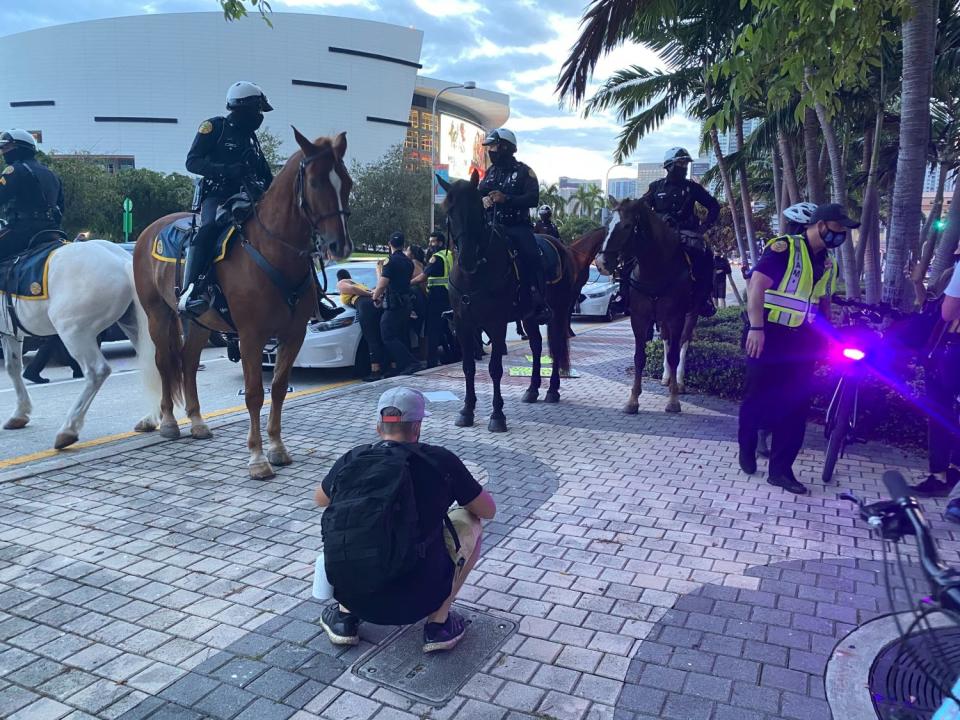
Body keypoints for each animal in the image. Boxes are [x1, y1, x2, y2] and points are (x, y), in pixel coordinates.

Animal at [0, 239, 158, 448]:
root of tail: (121, 262)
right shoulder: (9, 333)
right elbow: (13, 368)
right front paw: (20, 413)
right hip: (131, 325)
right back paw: (151, 419)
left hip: (73, 331)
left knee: (96, 371)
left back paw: (69, 429)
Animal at [137, 129, 354, 478]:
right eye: (316, 182)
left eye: (347, 182)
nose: (340, 245)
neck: (272, 251)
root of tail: (150, 231)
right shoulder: (251, 337)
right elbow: (254, 394)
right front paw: (257, 458)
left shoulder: (293, 335)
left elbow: (278, 387)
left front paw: (277, 448)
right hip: (159, 314)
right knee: (165, 362)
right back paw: (169, 422)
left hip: (199, 322)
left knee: (187, 361)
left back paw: (197, 421)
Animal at [438, 172, 572, 430]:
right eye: (448, 210)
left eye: (477, 208)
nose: (467, 258)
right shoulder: (463, 323)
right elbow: (468, 367)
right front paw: (467, 410)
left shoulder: (496, 322)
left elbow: (495, 369)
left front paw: (497, 415)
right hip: (529, 316)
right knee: (536, 346)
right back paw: (532, 389)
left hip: (560, 312)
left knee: (556, 346)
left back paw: (552, 390)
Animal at [600, 197, 688, 414]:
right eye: (607, 225)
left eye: (626, 226)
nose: (600, 263)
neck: (655, 270)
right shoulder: (639, 318)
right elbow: (639, 357)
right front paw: (633, 399)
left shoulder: (676, 317)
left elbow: (674, 355)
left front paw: (673, 399)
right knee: (666, 340)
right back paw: (666, 377)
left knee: (683, 342)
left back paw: (679, 381)